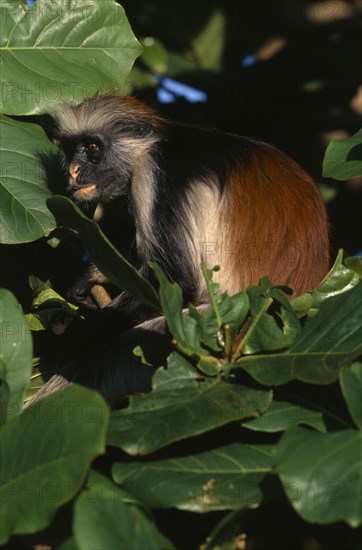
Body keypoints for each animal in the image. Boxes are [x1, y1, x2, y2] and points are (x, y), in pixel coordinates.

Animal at [32, 97, 330, 412]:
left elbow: (177, 283)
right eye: (71, 150)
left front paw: (74, 338)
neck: (159, 140)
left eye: (92, 148)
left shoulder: (157, 173)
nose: (74, 170)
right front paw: (92, 277)